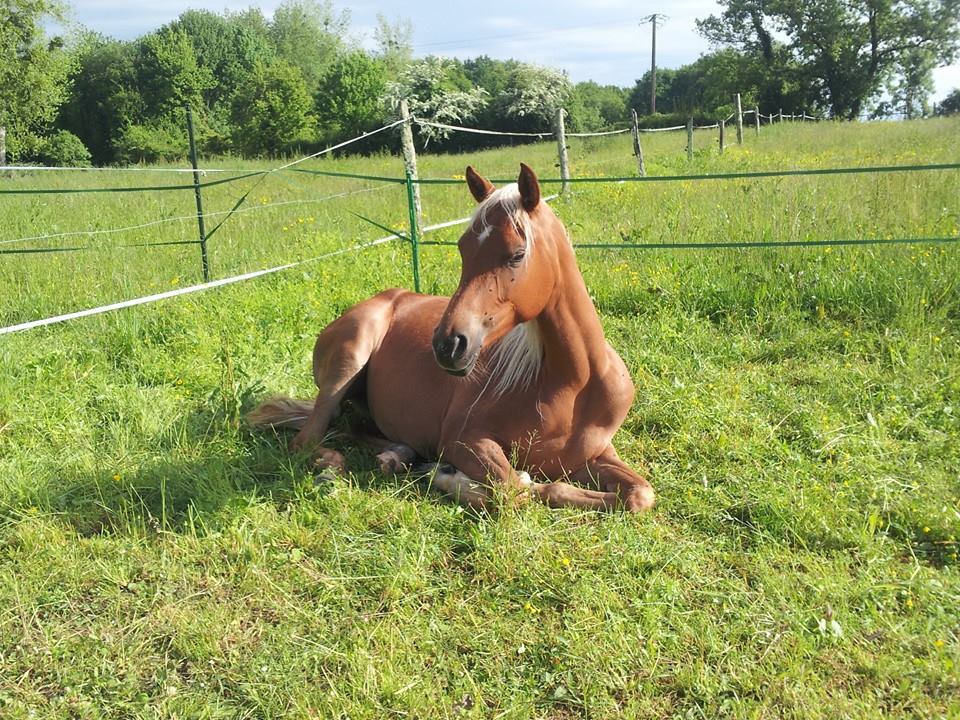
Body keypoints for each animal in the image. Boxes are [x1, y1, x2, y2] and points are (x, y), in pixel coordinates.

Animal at [246, 163, 652, 512]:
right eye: (462, 248)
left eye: (517, 254)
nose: (448, 345)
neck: (572, 384)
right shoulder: (463, 439)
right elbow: (516, 488)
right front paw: (451, 478)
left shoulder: (597, 453)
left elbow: (640, 495)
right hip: (347, 364)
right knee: (308, 440)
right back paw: (341, 468)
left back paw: (398, 457)